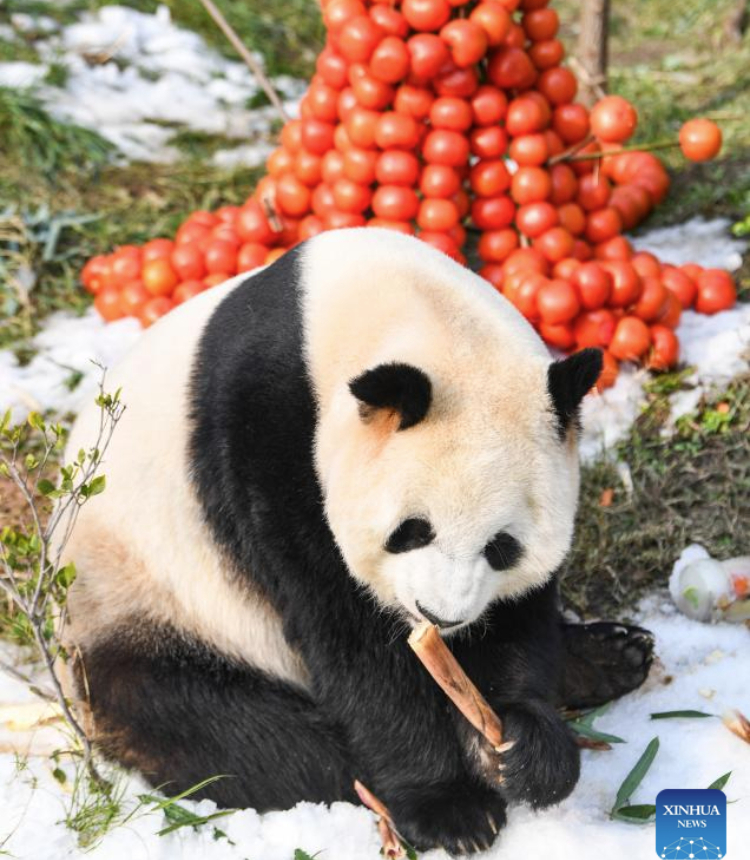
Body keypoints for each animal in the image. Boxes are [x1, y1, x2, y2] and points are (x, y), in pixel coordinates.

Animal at [63, 228, 652, 852]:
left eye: (502, 546)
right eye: (412, 531)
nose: (439, 616)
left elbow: (513, 624)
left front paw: (515, 747)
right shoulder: (267, 446)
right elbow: (347, 637)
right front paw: (452, 807)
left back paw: (611, 654)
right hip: (147, 606)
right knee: (240, 736)